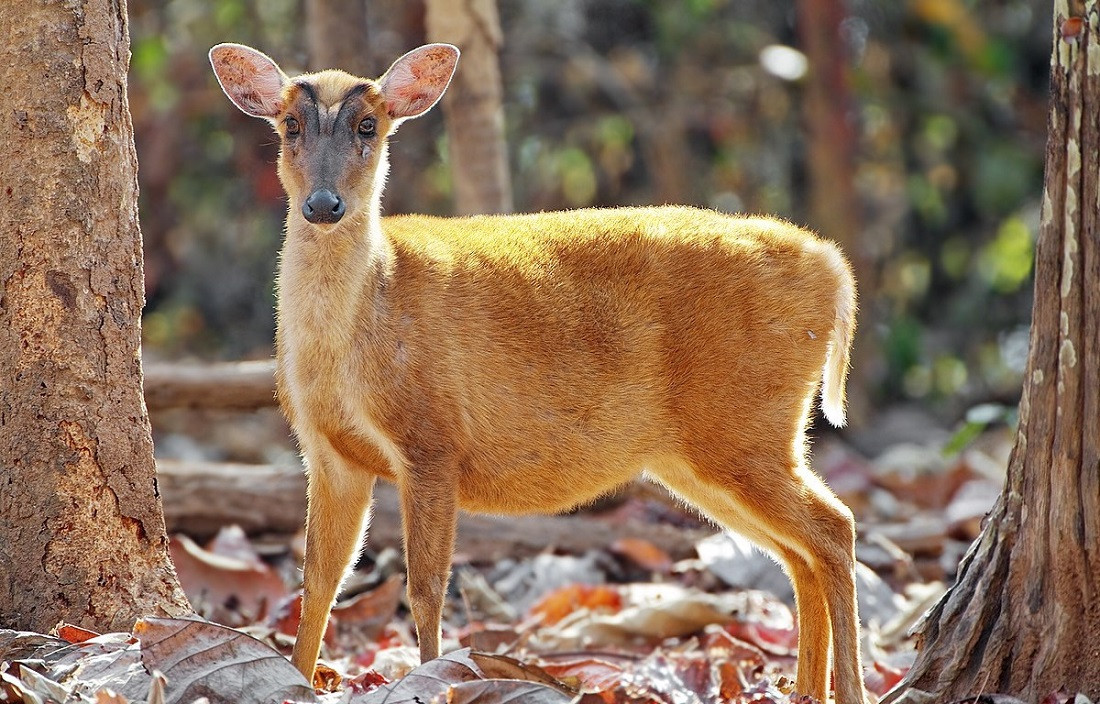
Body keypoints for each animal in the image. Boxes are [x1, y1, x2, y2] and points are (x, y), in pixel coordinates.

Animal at [207, 42, 866, 704]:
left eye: (370, 124)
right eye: (290, 125)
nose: (323, 205)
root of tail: (834, 268)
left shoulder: (431, 437)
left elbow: (426, 587)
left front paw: (430, 676)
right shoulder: (329, 452)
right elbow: (320, 578)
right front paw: (295, 678)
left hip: (744, 423)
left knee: (834, 528)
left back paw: (850, 688)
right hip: (703, 451)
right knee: (799, 553)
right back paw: (806, 690)